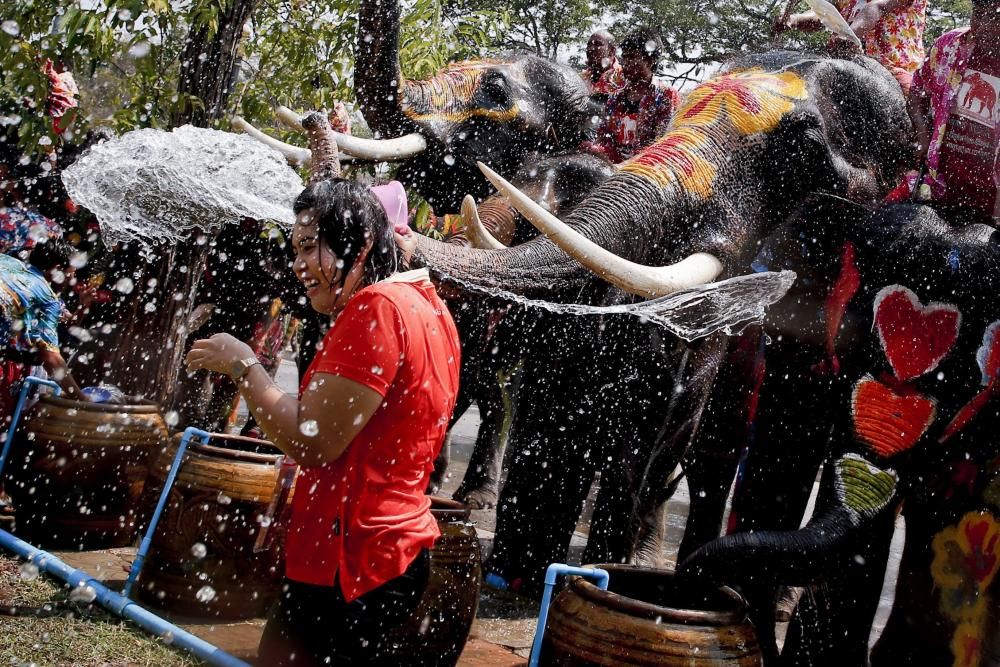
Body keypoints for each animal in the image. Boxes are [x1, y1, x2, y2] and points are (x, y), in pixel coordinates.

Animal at [406, 51, 916, 588]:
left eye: (805, 147)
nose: (403, 232)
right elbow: (557, 406)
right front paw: (520, 572)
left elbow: (651, 431)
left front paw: (597, 570)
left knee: (707, 460)